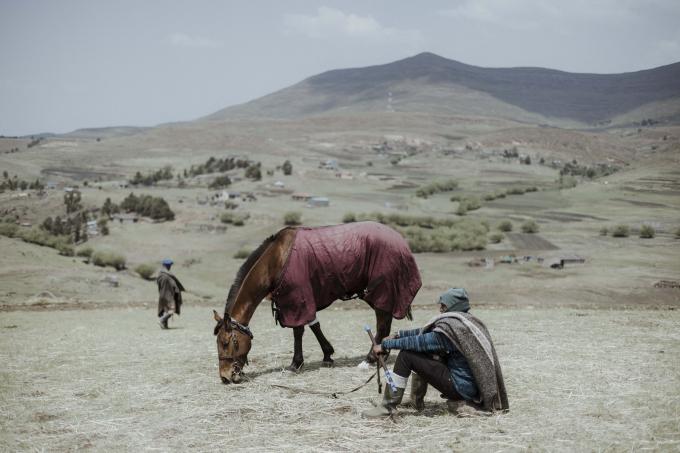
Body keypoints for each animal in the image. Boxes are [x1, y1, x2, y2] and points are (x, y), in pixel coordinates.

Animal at [212, 221, 420, 384]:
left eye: (224, 342)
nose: (225, 376)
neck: (276, 260)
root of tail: (400, 240)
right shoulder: (299, 300)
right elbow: (314, 325)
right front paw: (327, 355)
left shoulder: (297, 299)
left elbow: (298, 331)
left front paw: (296, 363)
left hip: (382, 291)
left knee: (382, 325)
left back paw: (369, 360)